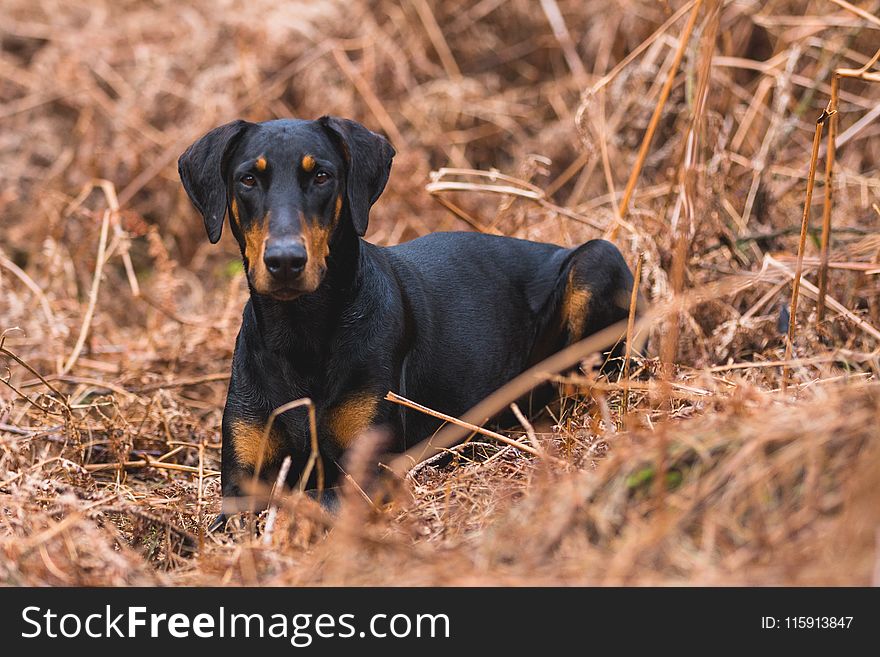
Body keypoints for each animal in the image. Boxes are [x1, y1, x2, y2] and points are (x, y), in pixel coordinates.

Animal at [177, 116, 632, 528]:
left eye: (322, 176)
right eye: (248, 179)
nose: (285, 261)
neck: (300, 332)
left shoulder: (369, 469)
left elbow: (312, 501)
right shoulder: (239, 484)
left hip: (597, 260)